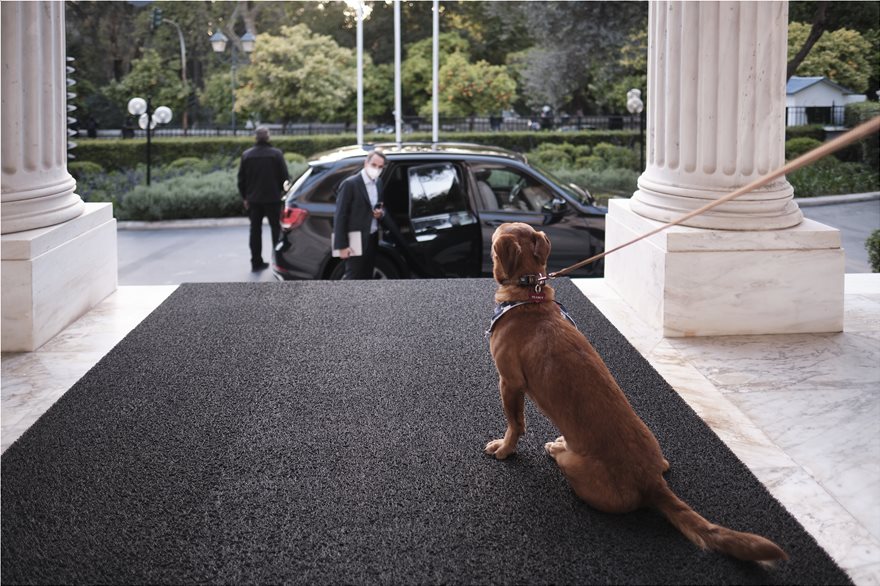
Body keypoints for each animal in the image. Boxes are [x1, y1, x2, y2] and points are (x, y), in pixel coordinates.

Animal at [484, 220, 788, 560]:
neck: (528, 294)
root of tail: (651, 482)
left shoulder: (509, 382)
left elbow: (515, 424)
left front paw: (504, 449)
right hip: (656, 450)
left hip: (573, 466)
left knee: (564, 460)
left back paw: (556, 446)